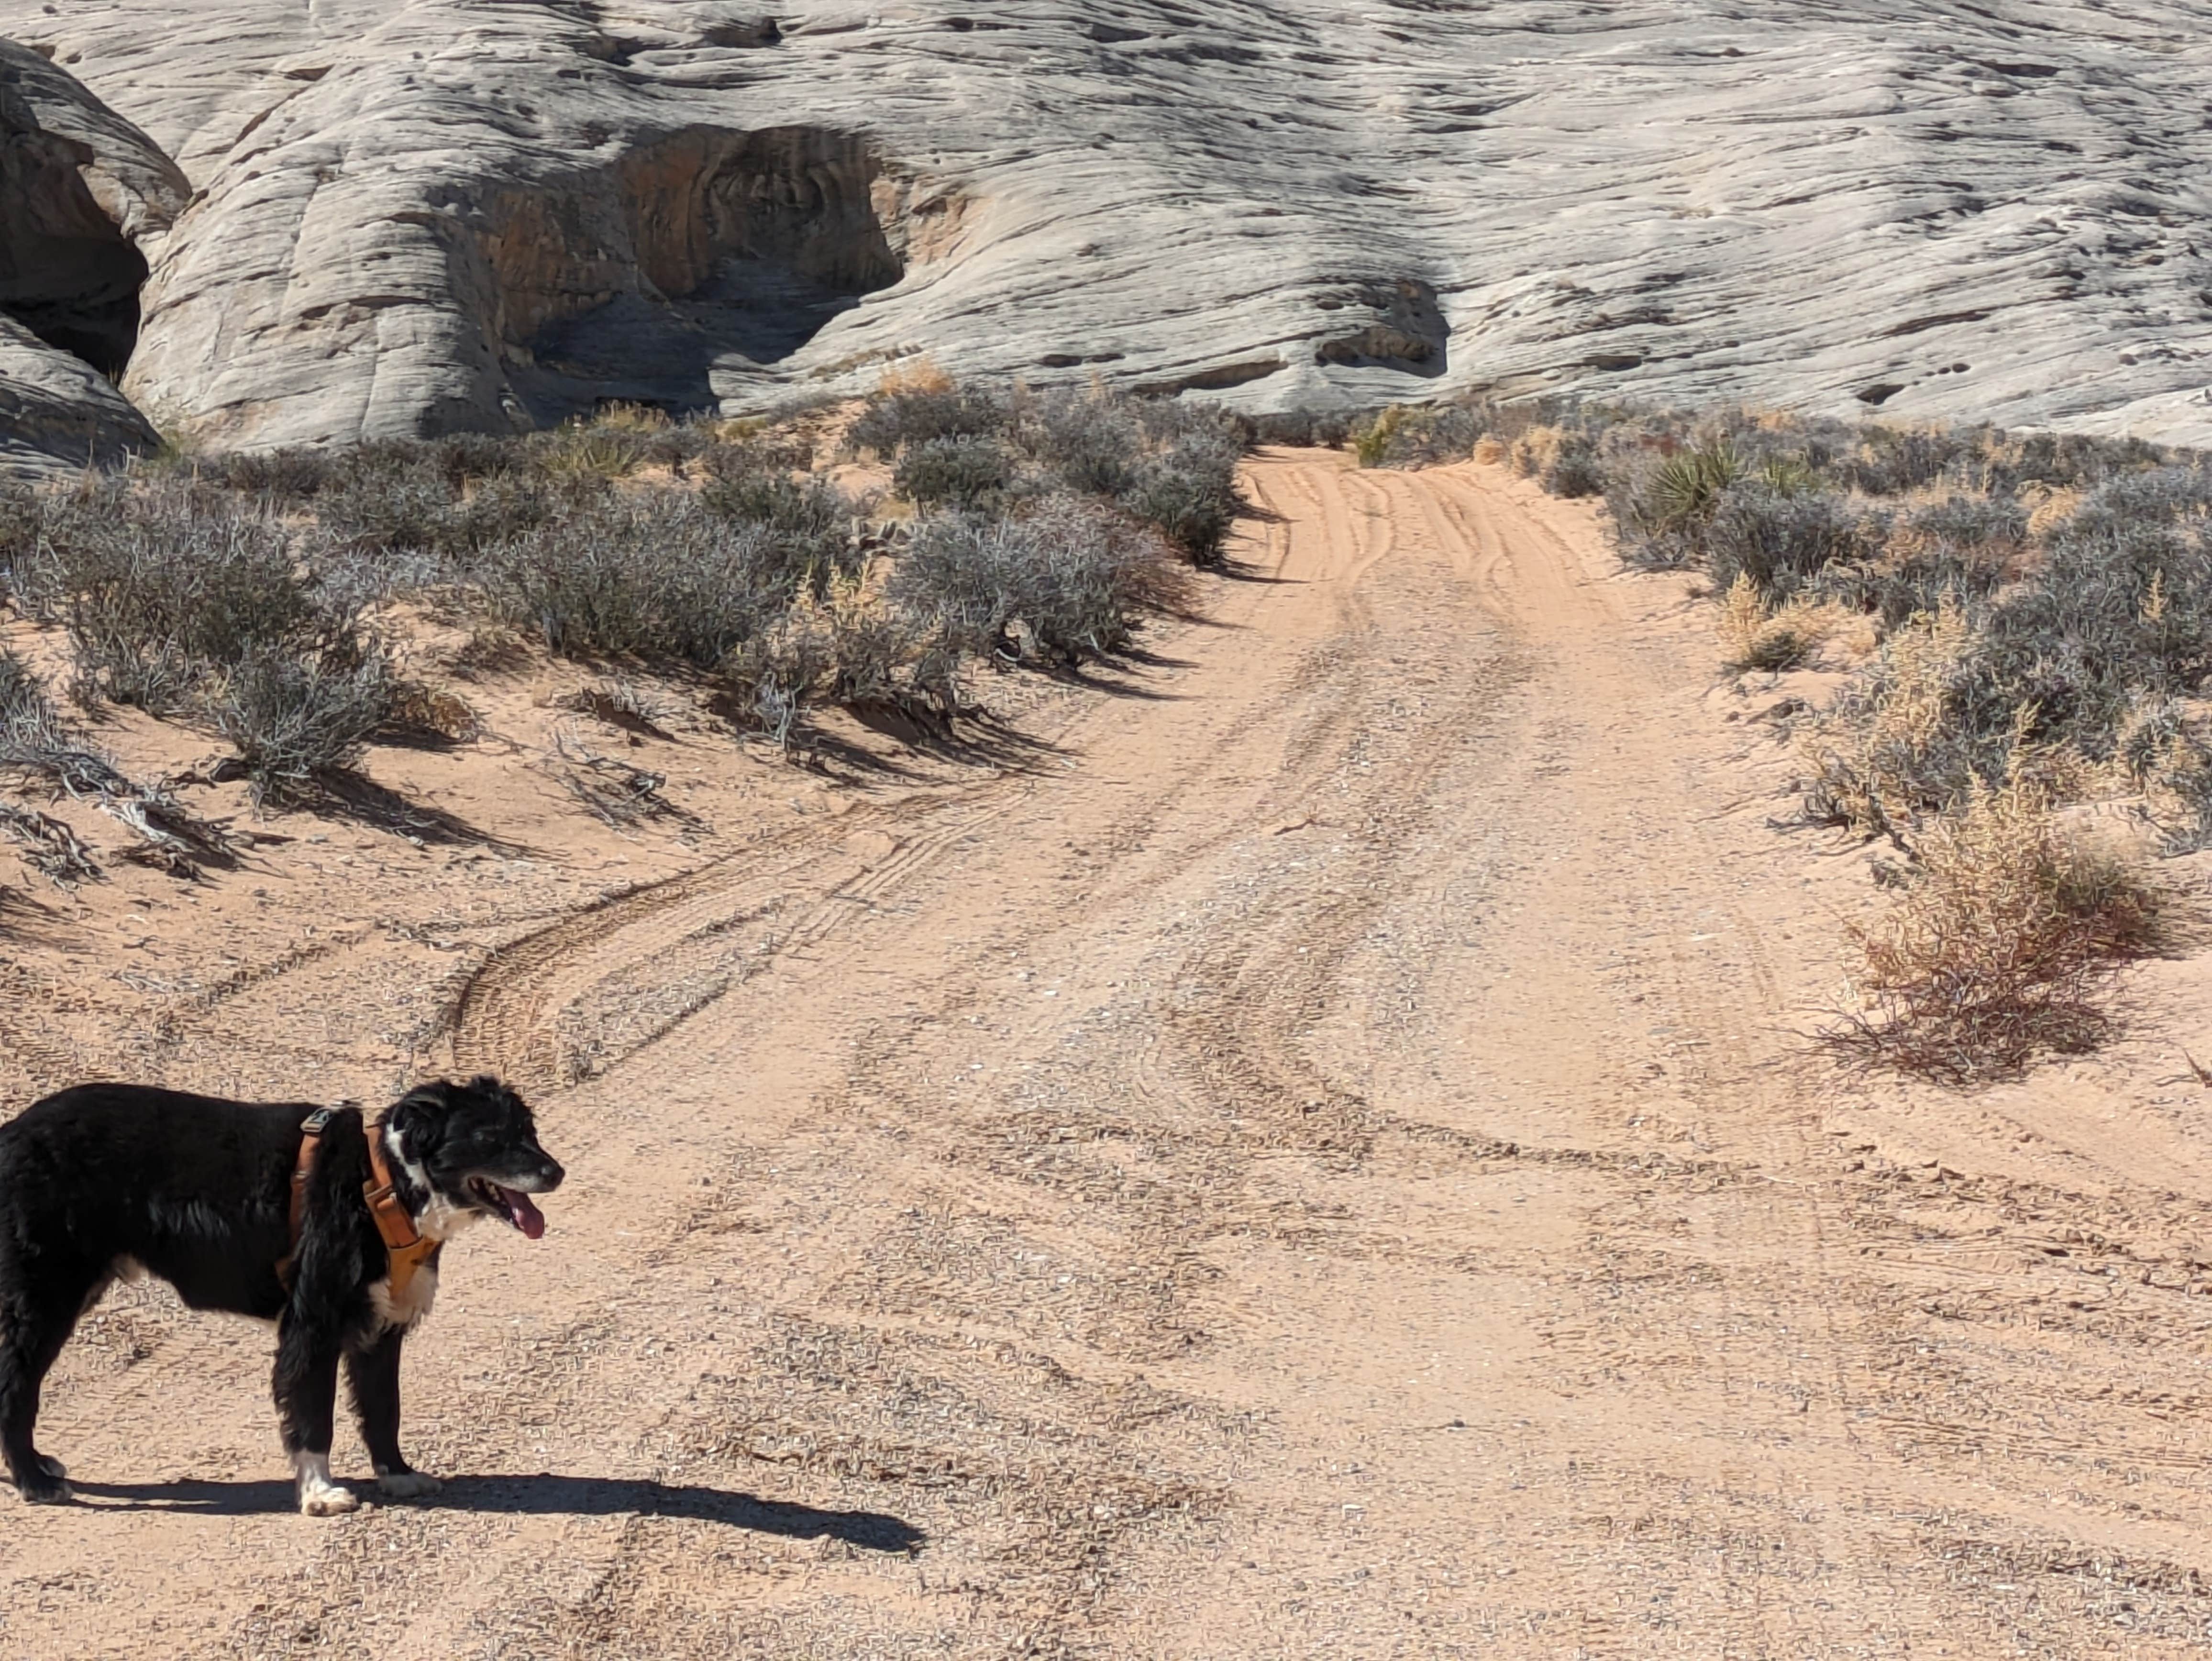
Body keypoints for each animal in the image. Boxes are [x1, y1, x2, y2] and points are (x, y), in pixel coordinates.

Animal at [0, 1079, 562, 1521]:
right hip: (44, 1297)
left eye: (529, 1131)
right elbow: (314, 1415)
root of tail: (11, 1133)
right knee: (15, 1389)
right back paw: (34, 1480)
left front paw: (398, 1476)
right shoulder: (313, 1325)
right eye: (489, 1138)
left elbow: (384, 1408)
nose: (556, 1173)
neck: (384, 1184)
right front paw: (320, 1493)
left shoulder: (381, 1330)